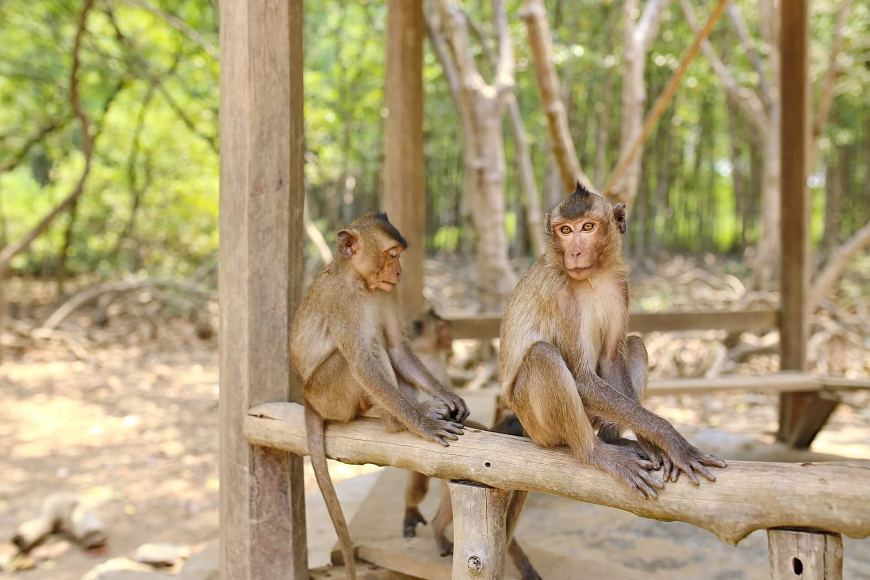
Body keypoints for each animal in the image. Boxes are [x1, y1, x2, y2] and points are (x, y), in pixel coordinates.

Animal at [290, 212, 471, 580]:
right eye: (391, 254)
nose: (398, 272)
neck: (360, 282)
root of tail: (308, 400)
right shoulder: (342, 302)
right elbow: (363, 361)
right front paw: (423, 422)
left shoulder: (388, 293)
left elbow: (399, 348)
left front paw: (449, 398)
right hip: (327, 394)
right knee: (362, 354)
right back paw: (392, 421)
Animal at [498, 183, 727, 501]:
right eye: (565, 230)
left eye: (588, 227)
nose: (575, 252)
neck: (593, 277)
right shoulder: (558, 291)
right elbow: (582, 378)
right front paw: (672, 439)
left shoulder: (621, 287)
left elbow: (612, 359)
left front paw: (655, 444)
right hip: (539, 428)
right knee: (544, 355)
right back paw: (595, 452)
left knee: (635, 345)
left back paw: (613, 440)